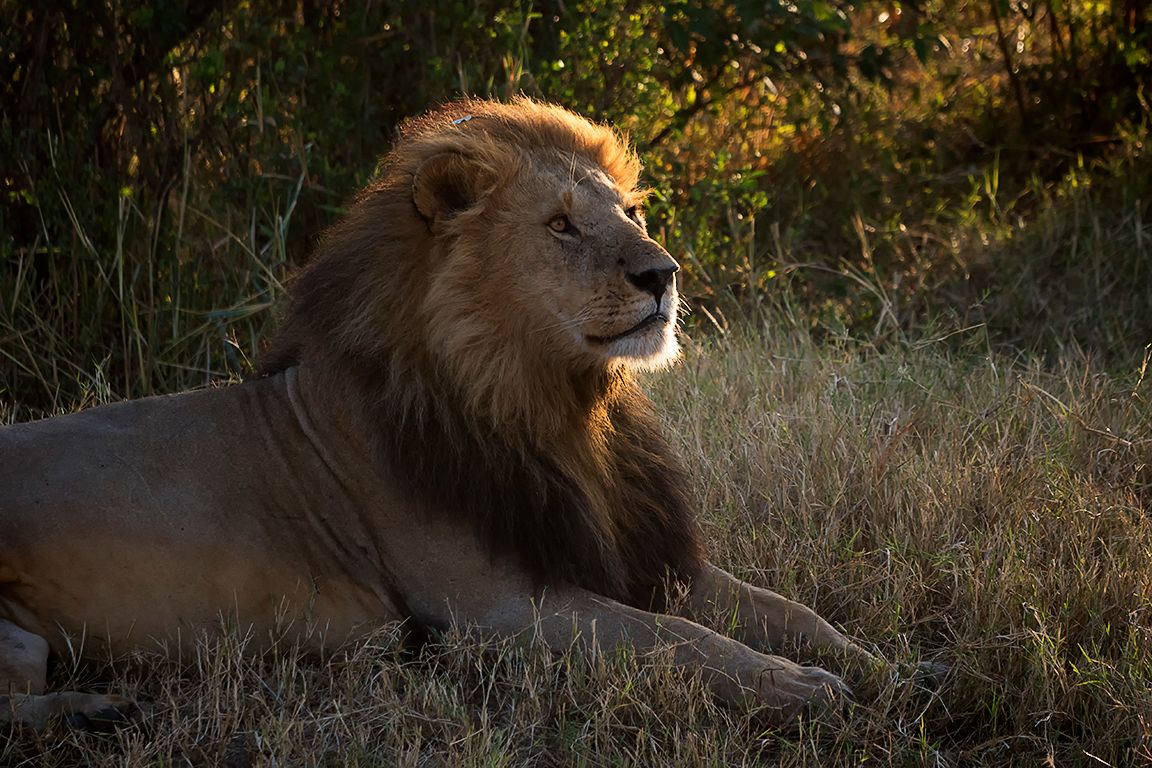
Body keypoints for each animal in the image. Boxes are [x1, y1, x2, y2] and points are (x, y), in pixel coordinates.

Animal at [0, 98, 928, 732]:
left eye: (629, 214)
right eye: (561, 226)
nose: (663, 274)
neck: (555, 406)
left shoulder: (640, 553)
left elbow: (787, 611)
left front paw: (891, 668)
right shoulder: (496, 607)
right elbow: (679, 639)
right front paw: (801, 688)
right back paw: (100, 709)